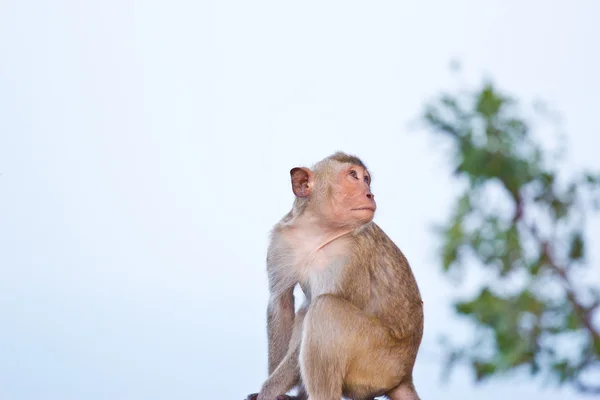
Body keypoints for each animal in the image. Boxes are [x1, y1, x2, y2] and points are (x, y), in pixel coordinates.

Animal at [246, 152, 424, 398]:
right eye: (353, 176)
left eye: (366, 179)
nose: (370, 194)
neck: (318, 231)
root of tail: (405, 375)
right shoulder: (281, 240)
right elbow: (280, 302)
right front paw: (274, 392)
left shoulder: (349, 254)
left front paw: (268, 391)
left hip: (378, 363)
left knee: (325, 308)